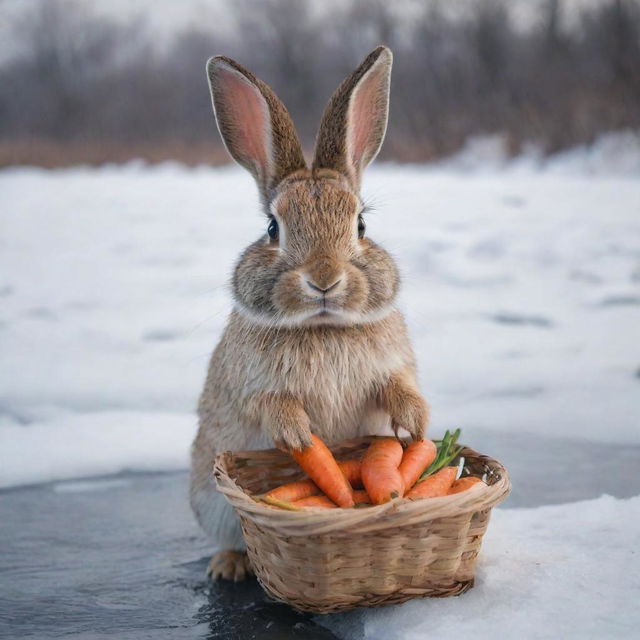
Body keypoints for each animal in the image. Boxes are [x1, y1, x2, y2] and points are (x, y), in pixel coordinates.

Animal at [190, 46, 430, 580]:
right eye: (272, 227)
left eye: (360, 224)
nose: (324, 279)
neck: (324, 327)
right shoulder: (251, 388)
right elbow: (271, 405)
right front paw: (300, 435)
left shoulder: (392, 369)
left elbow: (398, 387)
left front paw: (417, 424)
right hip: (211, 501)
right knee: (233, 536)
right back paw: (230, 565)